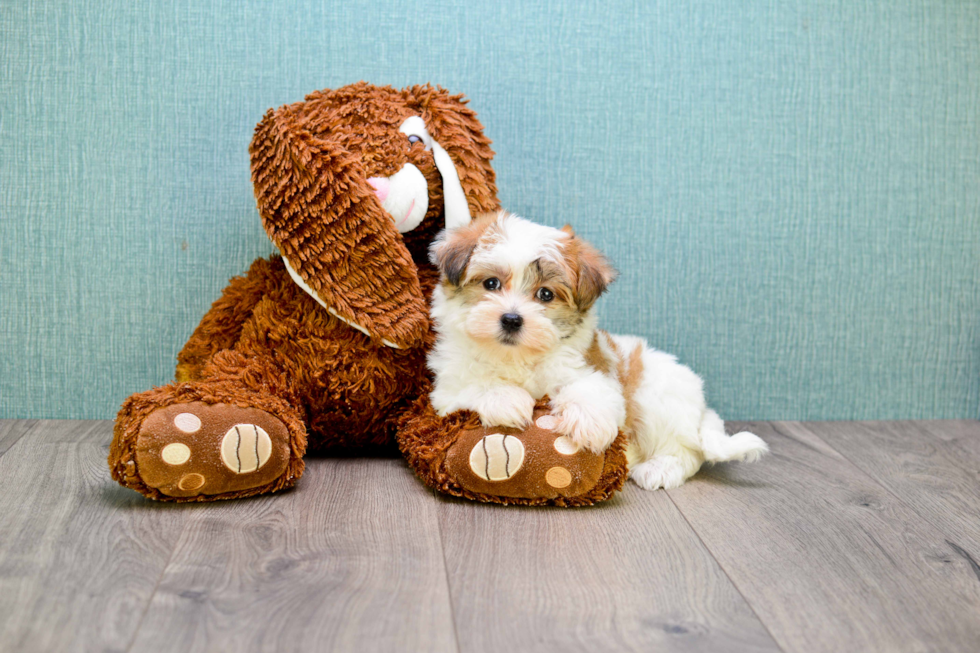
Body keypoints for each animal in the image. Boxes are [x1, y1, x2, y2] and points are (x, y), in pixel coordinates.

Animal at [428, 210, 764, 488]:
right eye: (491, 284)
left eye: (545, 294)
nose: (511, 319)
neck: (517, 357)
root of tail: (702, 406)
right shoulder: (446, 389)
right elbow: (474, 385)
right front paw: (506, 399)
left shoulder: (591, 368)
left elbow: (590, 388)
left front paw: (590, 423)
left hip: (656, 397)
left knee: (688, 450)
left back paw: (660, 468)